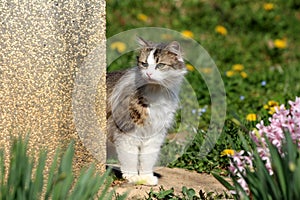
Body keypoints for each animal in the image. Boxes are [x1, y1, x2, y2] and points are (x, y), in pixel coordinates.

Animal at [106, 37, 185, 186]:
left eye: (160, 65)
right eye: (144, 64)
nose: (149, 73)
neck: (156, 94)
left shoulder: (155, 135)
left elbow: (147, 159)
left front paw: (146, 177)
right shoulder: (126, 133)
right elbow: (130, 159)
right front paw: (132, 177)